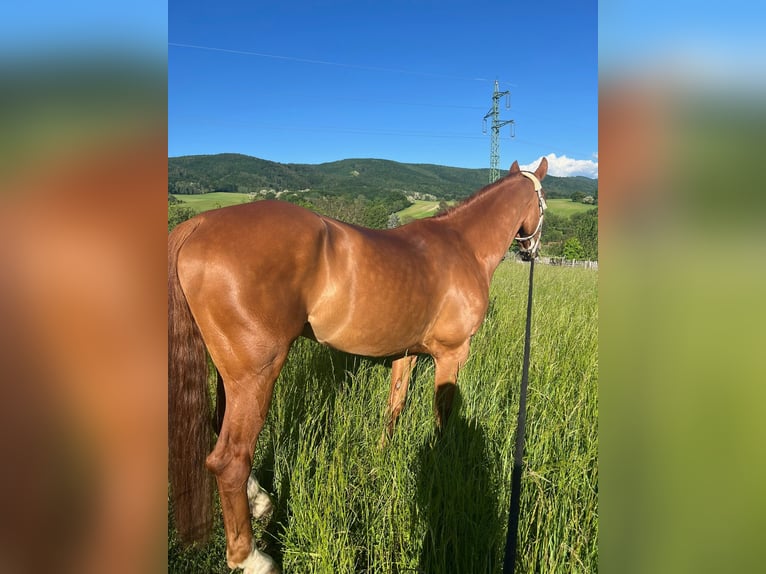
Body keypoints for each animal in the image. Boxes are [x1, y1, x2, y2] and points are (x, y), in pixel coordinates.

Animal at [171, 158, 548, 574]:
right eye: (542, 201)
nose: (532, 249)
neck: (462, 246)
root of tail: (197, 225)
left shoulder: (405, 354)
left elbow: (394, 406)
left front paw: (383, 456)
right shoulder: (451, 356)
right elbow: (442, 418)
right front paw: (441, 465)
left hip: (230, 375)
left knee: (218, 428)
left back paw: (260, 501)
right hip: (257, 375)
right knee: (230, 460)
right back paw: (252, 557)